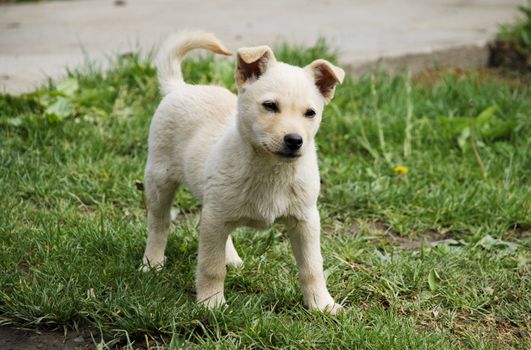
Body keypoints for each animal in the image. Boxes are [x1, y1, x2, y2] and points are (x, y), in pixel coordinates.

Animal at [142, 30, 344, 314]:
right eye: (270, 106)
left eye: (310, 113)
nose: (295, 140)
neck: (271, 170)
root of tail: (181, 88)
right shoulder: (215, 217)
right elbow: (210, 265)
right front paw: (211, 303)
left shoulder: (305, 220)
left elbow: (312, 267)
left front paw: (321, 305)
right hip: (160, 178)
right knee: (159, 223)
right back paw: (152, 263)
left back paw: (231, 258)